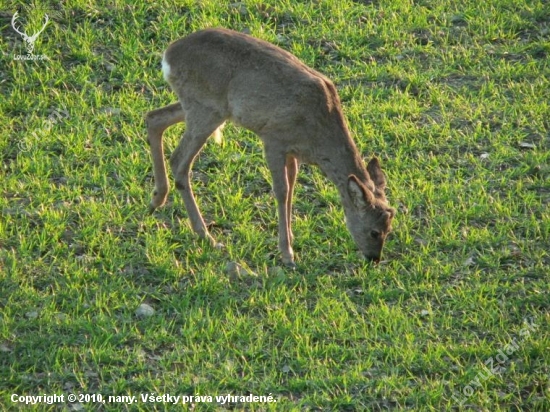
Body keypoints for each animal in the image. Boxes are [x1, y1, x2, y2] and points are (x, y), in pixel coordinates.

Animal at [147, 29, 396, 268]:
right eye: (374, 232)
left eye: (389, 228)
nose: (374, 258)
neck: (317, 133)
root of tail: (168, 56)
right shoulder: (273, 139)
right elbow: (282, 190)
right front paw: (287, 254)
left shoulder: (292, 151)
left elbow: (292, 186)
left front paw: (290, 240)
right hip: (206, 108)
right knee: (179, 160)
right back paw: (206, 236)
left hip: (200, 107)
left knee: (154, 118)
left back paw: (156, 200)